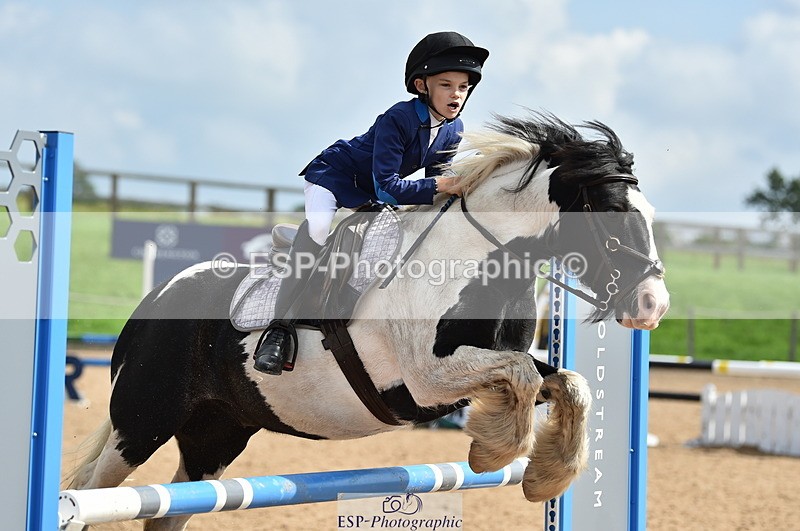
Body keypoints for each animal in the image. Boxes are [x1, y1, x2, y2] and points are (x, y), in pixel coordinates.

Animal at [66, 113, 669, 530]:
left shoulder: (486, 369)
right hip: (141, 423)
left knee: (168, 511)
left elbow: (570, 383)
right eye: (615, 215)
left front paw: (547, 475)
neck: (477, 260)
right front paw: (494, 453)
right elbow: (521, 375)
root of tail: (154, 302)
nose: (653, 306)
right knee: (95, 491)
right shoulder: (429, 380)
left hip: (215, 436)